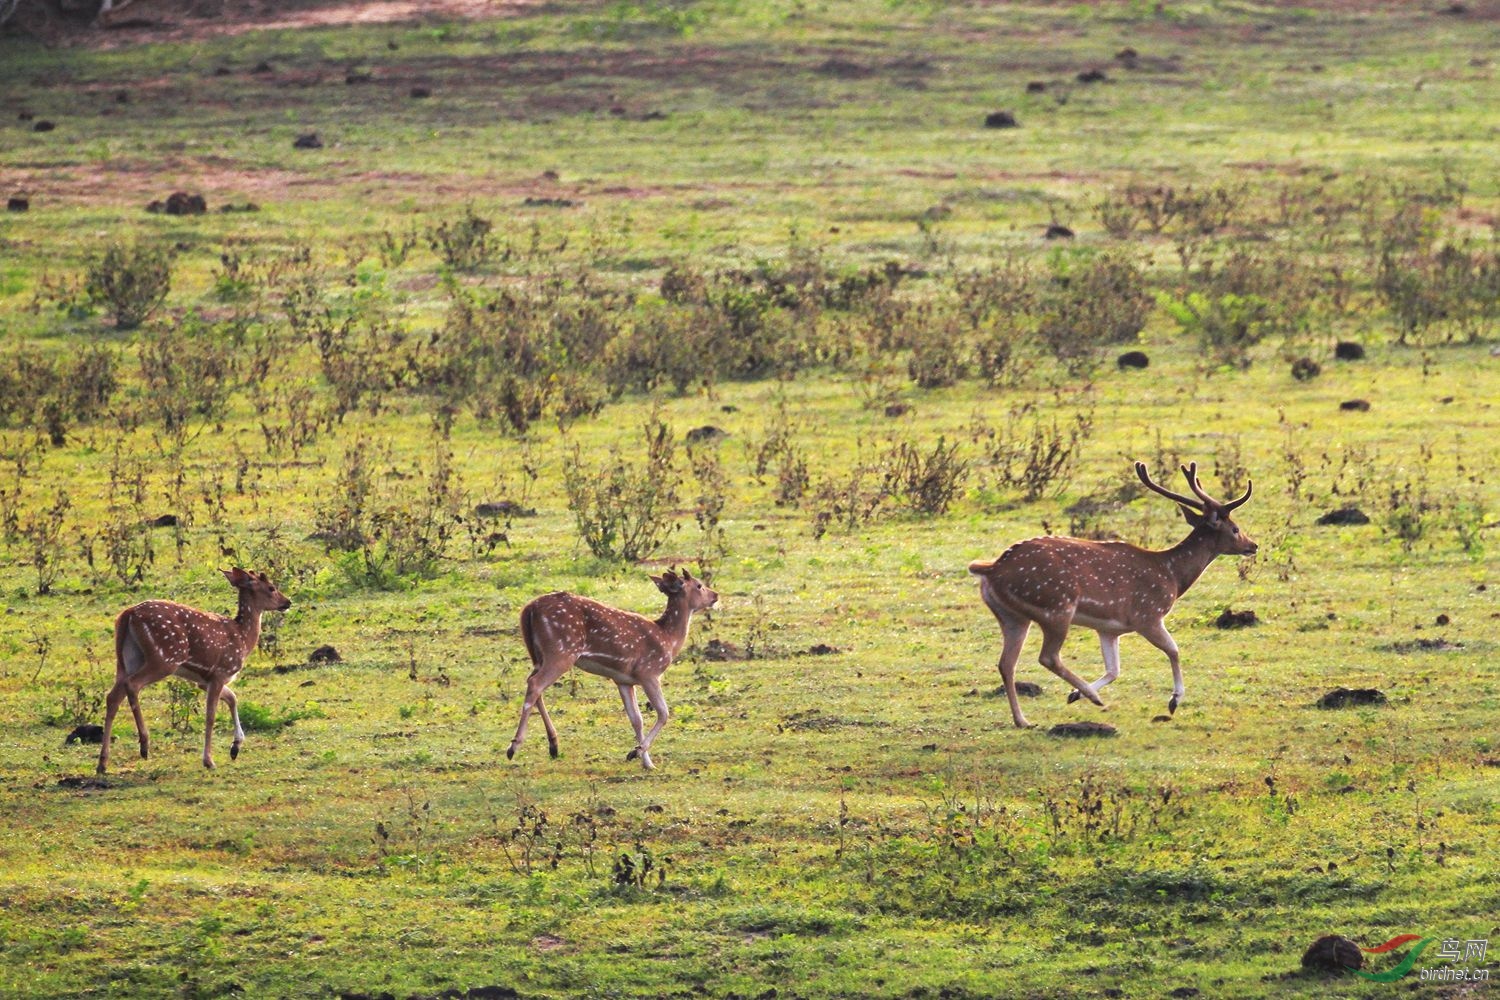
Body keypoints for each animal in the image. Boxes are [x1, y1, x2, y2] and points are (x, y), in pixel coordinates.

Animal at [97, 569, 292, 773]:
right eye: (271, 588)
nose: (287, 602)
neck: (243, 639)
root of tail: (128, 614)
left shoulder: (204, 680)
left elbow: (232, 698)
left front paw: (235, 747)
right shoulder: (221, 671)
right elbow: (211, 715)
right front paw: (209, 760)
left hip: (129, 659)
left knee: (112, 697)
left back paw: (102, 762)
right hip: (165, 657)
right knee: (132, 685)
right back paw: (144, 745)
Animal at [510, 566, 720, 773]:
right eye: (699, 585)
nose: (716, 595)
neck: (668, 639)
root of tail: (529, 609)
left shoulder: (624, 680)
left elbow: (636, 719)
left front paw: (646, 762)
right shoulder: (649, 672)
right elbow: (664, 713)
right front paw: (636, 752)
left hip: (539, 655)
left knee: (533, 684)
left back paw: (553, 746)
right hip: (561, 651)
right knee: (535, 684)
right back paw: (514, 746)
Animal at [966, 461, 1248, 728]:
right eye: (1235, 529)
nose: (1252, 545)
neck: (1172, 577)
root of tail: (991, 569)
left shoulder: (1109, 629)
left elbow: (1114, 670)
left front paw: (1074, 695)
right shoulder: (1147, 615)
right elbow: (1174, 650)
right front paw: (1174, 701)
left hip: (1013, 617)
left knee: (1006, 663)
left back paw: (1023, 720)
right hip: (1056, 607)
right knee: (1047, 656)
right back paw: (1093, 697)